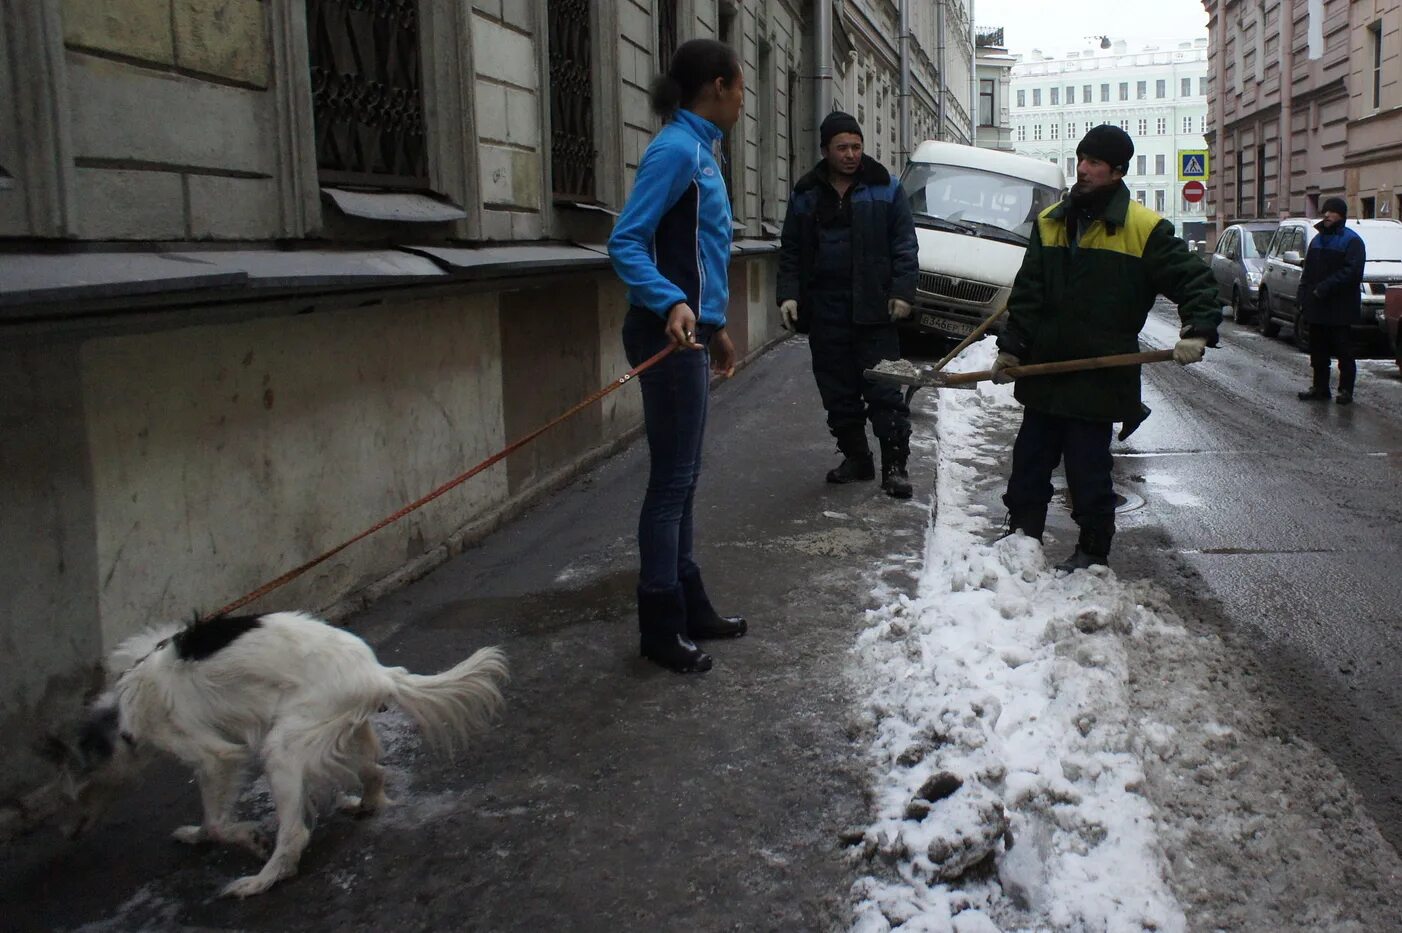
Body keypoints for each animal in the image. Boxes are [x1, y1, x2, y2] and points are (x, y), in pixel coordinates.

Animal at [39, 611, 510, 897]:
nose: (65, 834)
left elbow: (217, 821)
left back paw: (262, 878)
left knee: (295, 833)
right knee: (375, 772)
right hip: (340, 729)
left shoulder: (214, 756)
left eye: (70, 795)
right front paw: (194, 835)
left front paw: (247, 838)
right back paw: (365, 805)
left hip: (282, 747)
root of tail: (377, 672)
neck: (119, 714)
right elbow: (207, 822)